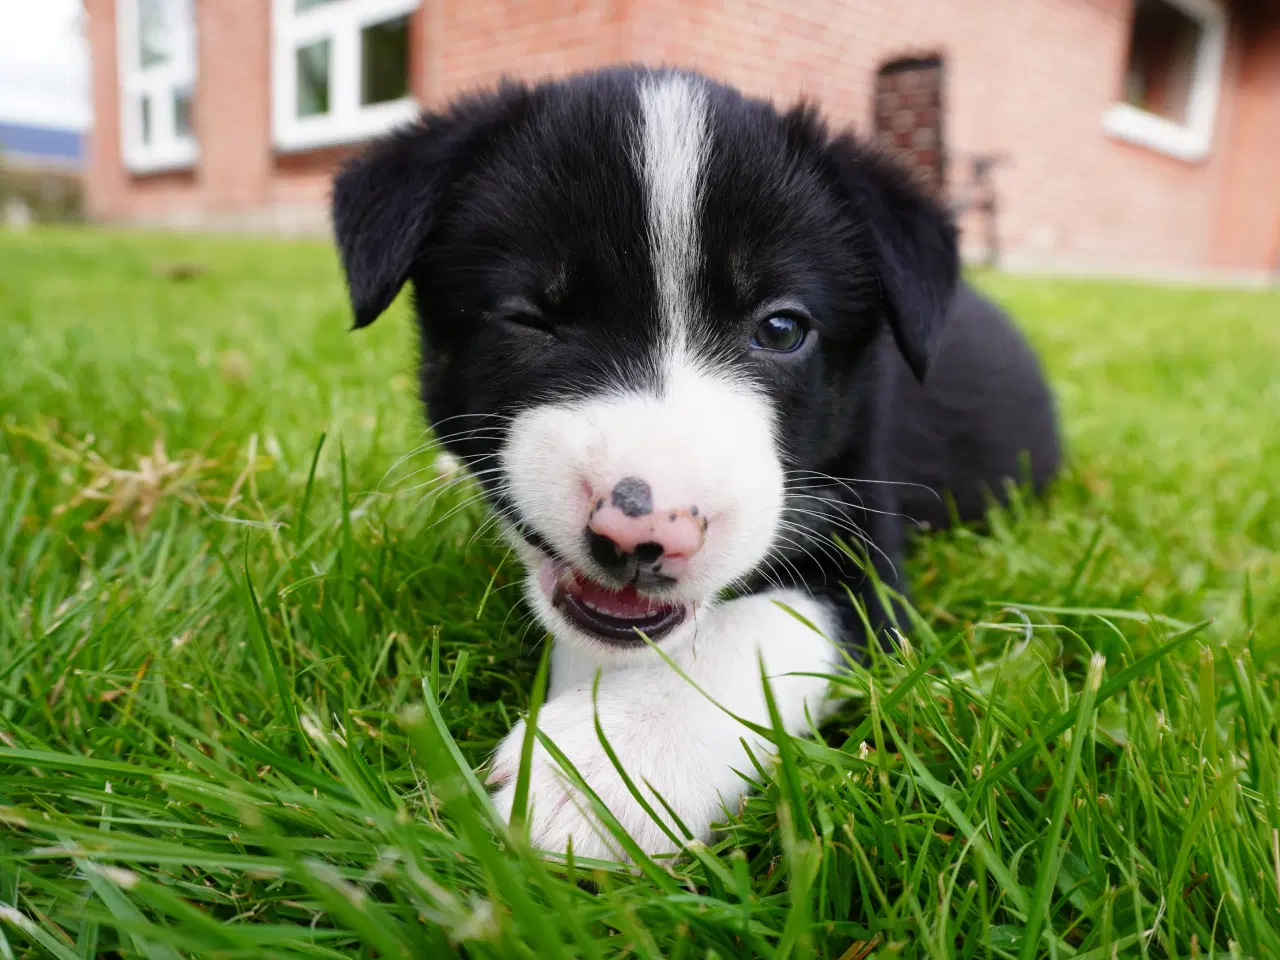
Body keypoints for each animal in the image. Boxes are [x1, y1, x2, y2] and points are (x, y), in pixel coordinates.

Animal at [330, 67, 1059, 865]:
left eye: (782, 328)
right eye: (528, 317)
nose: (646, 531)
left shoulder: (867, 552)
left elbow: (759, 628)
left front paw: (608, 768)